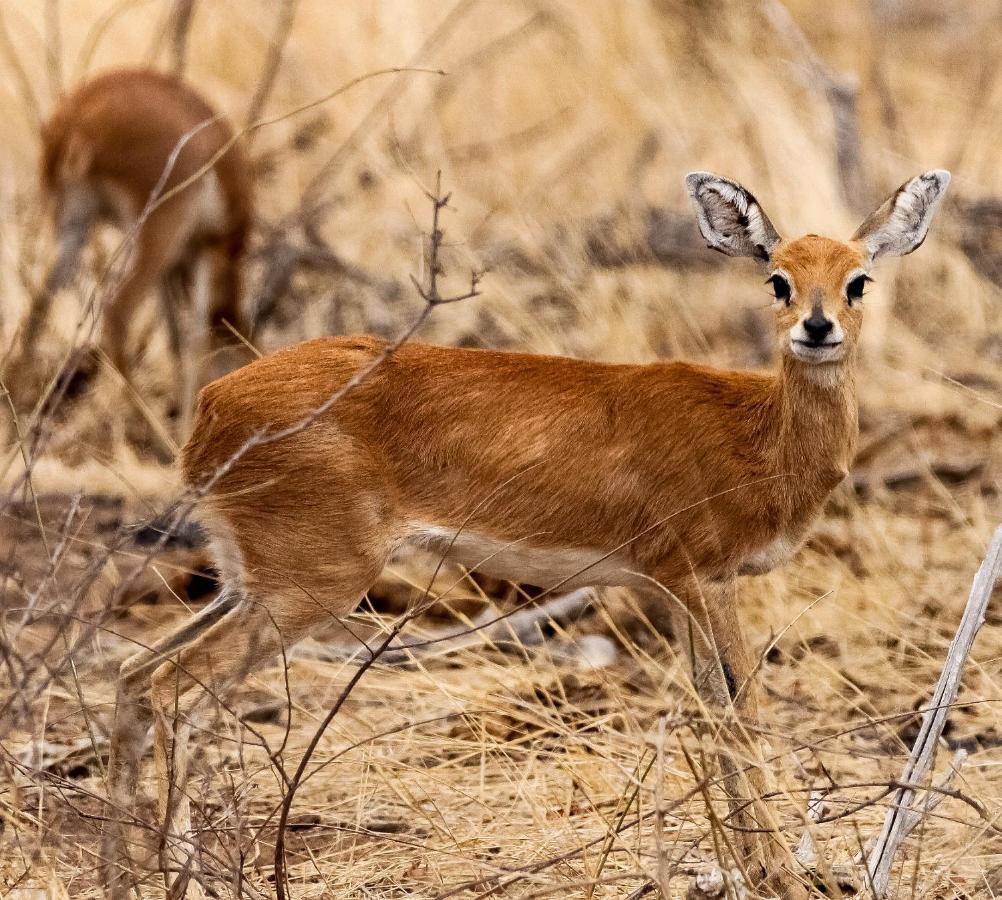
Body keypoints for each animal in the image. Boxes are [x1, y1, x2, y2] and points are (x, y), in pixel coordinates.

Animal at [30, 66, 252, 434]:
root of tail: (80, 117)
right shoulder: (206, 252)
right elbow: (196, 338)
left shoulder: (172, 270)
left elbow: (177, 339)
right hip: (157, 232)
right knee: (116, 316)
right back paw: (162, 437)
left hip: (73, 226)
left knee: (37, 307)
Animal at [101, 170, 945, 897]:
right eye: (778, 278)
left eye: (858, 279)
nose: (817, 327)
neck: (760, 434)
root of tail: (210, 408)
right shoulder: (703, 581)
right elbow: (743, 715)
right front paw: (781, 878)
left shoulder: (679, 592)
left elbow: (715, 711)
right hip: (309, 586)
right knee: (177, 690)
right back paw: (180, 879)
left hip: (245, 583)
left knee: (136, 675)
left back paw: (126, 873)